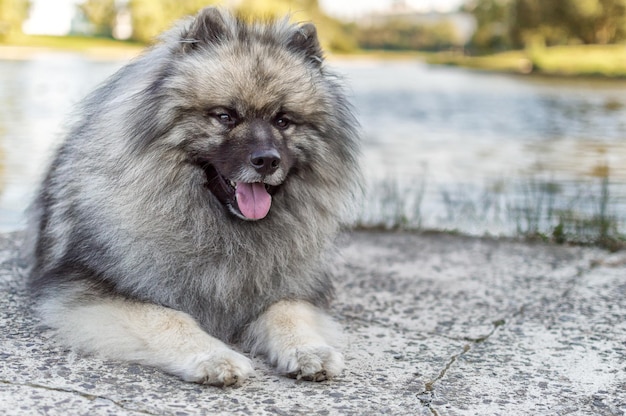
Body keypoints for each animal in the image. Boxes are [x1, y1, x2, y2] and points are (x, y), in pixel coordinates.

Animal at [26, 7, 358, 386]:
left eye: (283, 120)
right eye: (225, 116)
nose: (267, 160)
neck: (224, 230)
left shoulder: (292, 290)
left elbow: (288, 311)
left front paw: (309, 350)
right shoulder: (94, 293)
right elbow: (168, 319)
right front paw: (216, 357)